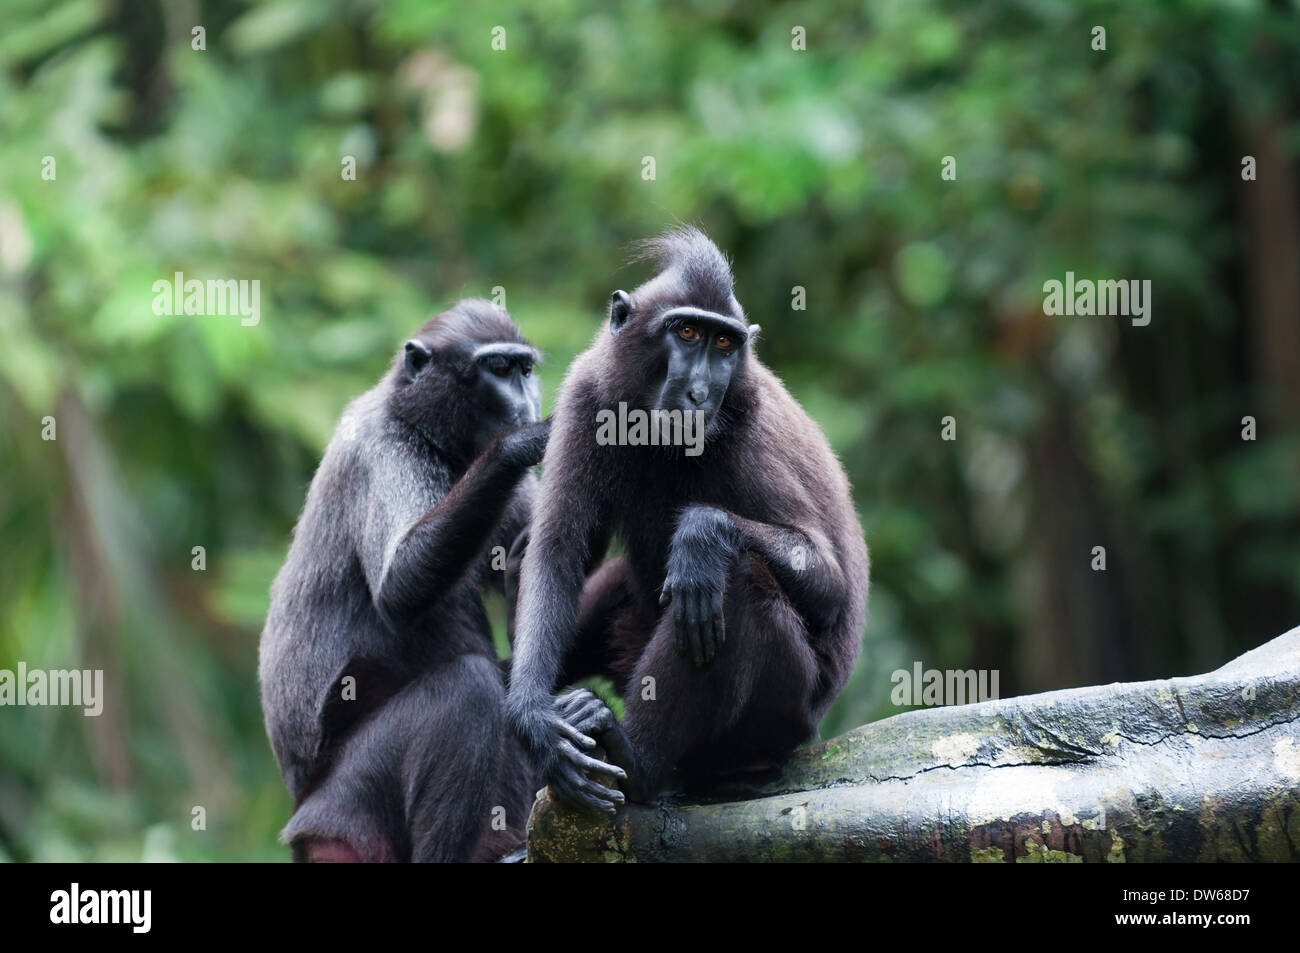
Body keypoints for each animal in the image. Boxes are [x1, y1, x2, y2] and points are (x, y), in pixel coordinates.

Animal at [258, 298, 548, 862]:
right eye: (499, 369)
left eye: (525, 370)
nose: (526, 402)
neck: (420, 423)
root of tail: (303, 809)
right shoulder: (382, 450)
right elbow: (401, 585)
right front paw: (522, 442)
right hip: (350, 799)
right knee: (470, 688)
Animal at [506, 227, 869, 812]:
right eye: (688, 331)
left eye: (724, 345)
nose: (700, 394)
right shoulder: (587, 394)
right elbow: (558, 553)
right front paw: (534, 721)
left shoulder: (750, 432)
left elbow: (831, 585)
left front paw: (701, 534)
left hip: (778, 721)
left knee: (733, 585)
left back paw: (638, 765)